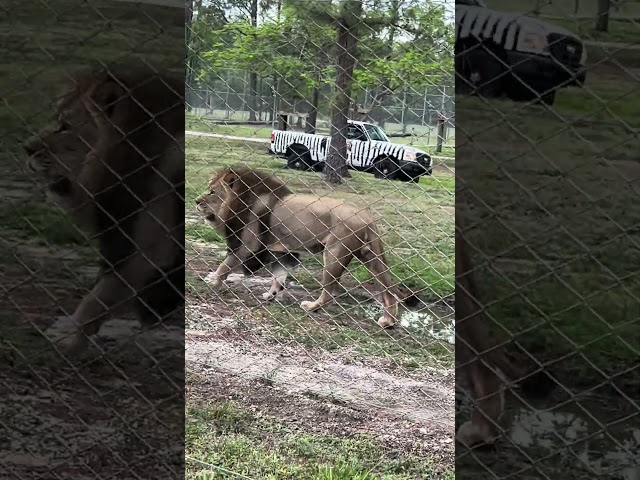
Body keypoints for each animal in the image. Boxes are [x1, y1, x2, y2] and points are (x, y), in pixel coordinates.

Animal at [194, 165, 420, 326]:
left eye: (212, 192)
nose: (196, 201)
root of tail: (367, 218)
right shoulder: (282, 251)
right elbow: (279, 276)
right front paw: (272, 295)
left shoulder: (248, 245)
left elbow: (226, 264)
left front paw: (213, 280)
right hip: (372, 257)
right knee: (388, 290)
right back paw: (388, 321)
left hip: (334, 253)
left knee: (330, 292)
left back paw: (312, 307)